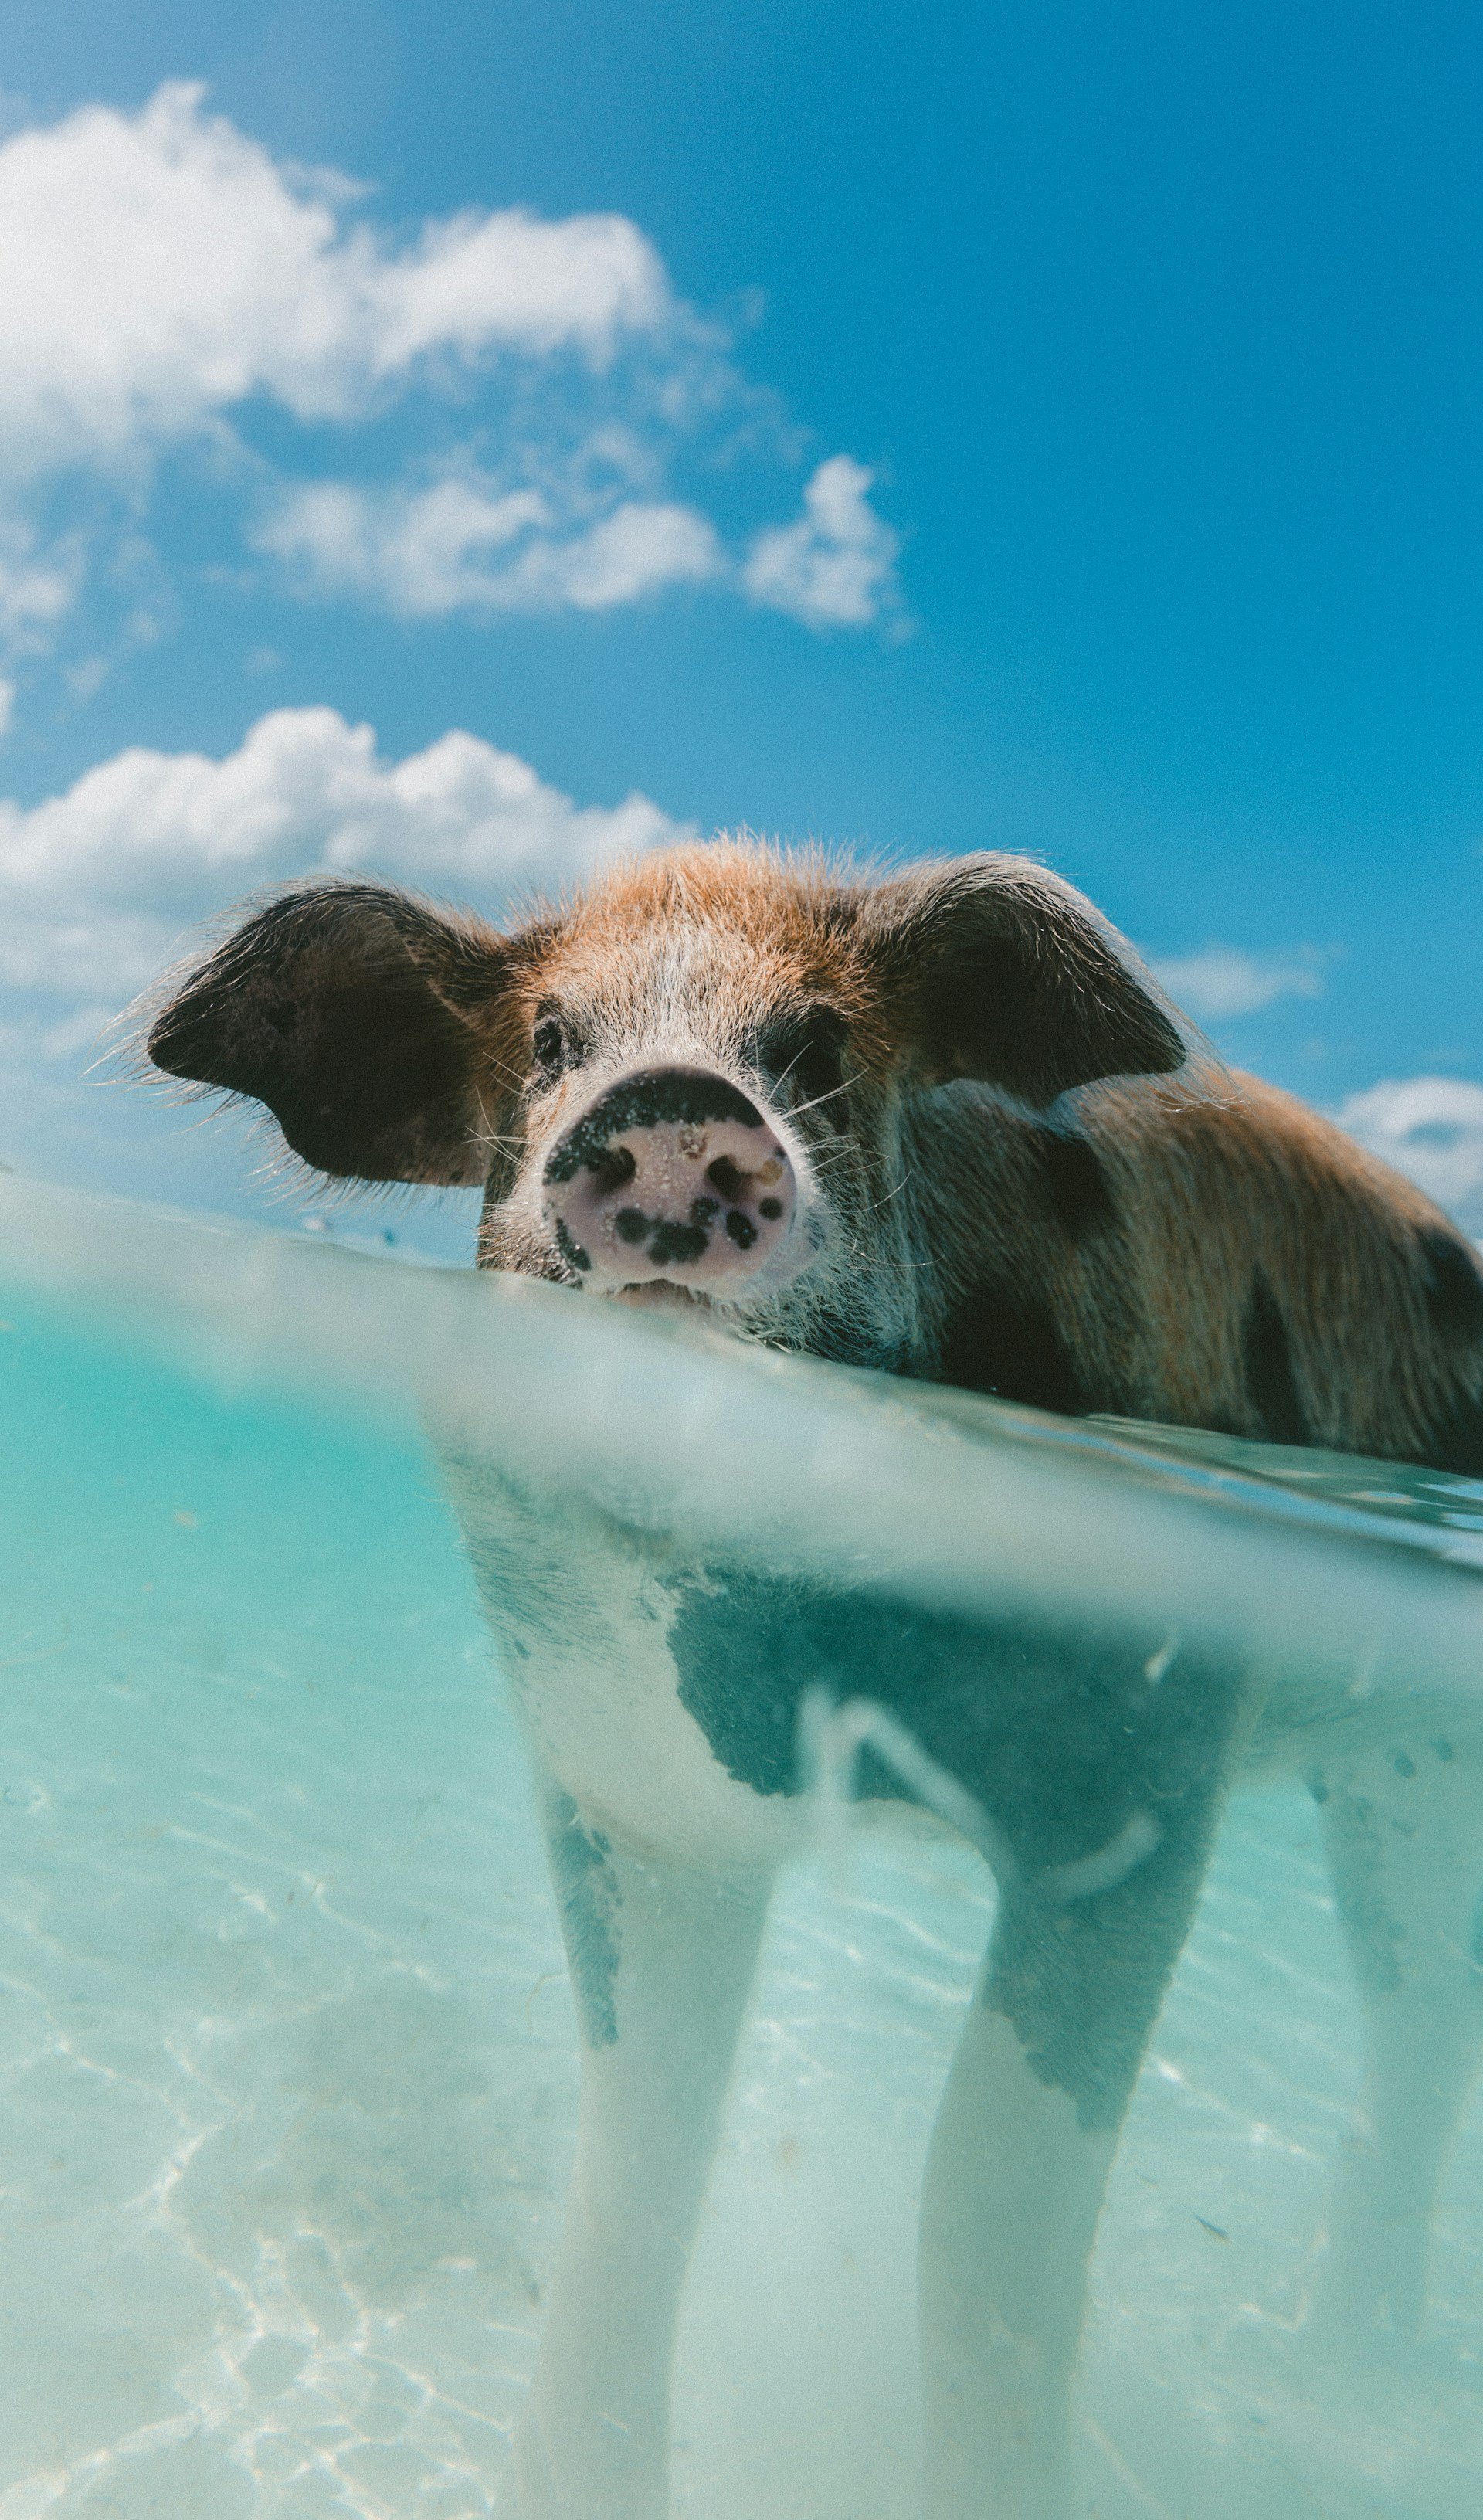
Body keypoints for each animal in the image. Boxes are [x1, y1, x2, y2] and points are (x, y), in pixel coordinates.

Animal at [145, 841, 1483, 2520]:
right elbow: (641, 2150)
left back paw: (1335, 2388)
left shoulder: (1141, 1766)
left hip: (1414, 1747)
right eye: (549, 1042)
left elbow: (983, 2203)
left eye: (819, 1045)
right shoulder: (627, 1785)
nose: (669, 1103)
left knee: (1420, 2019)